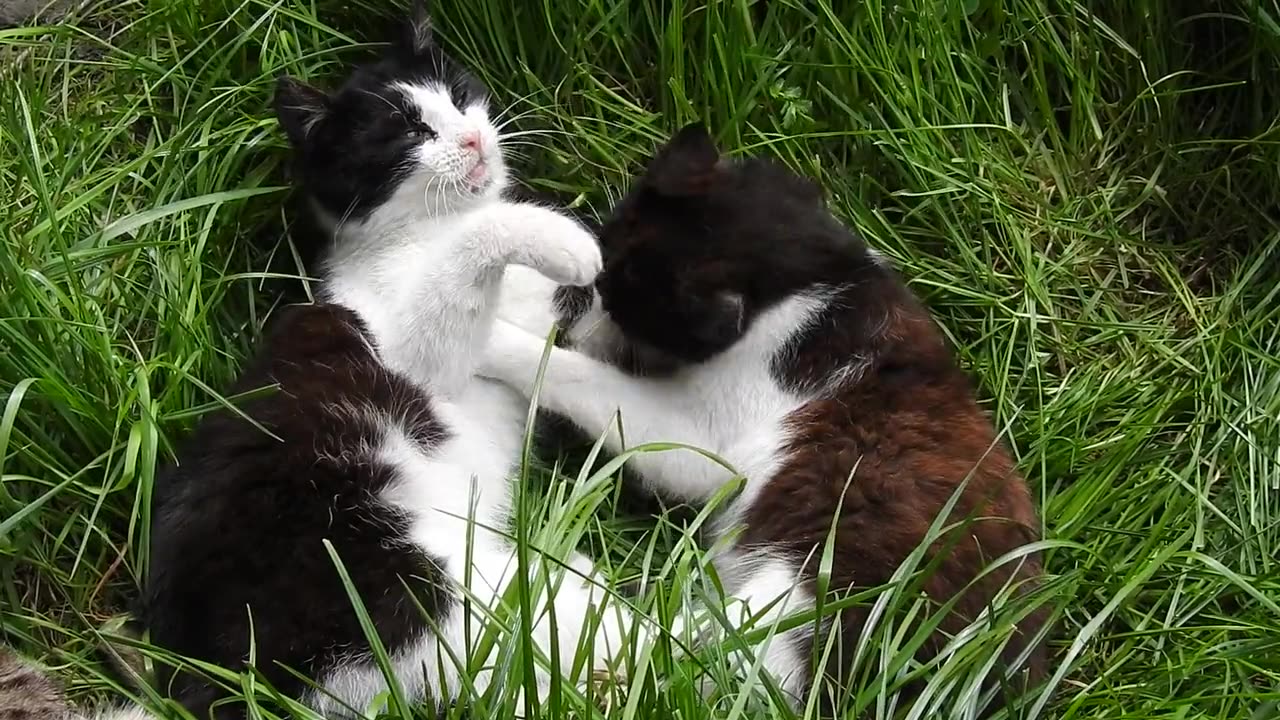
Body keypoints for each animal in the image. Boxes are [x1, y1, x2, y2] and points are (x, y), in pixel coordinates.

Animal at [116, 5, 640, 717]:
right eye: (411, 132)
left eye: (459, 97)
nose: (473, 140)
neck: (418, 231)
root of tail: (207, 677)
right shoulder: (415, 349)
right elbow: (473, 253)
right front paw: (563, 239)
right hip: (437, 592)